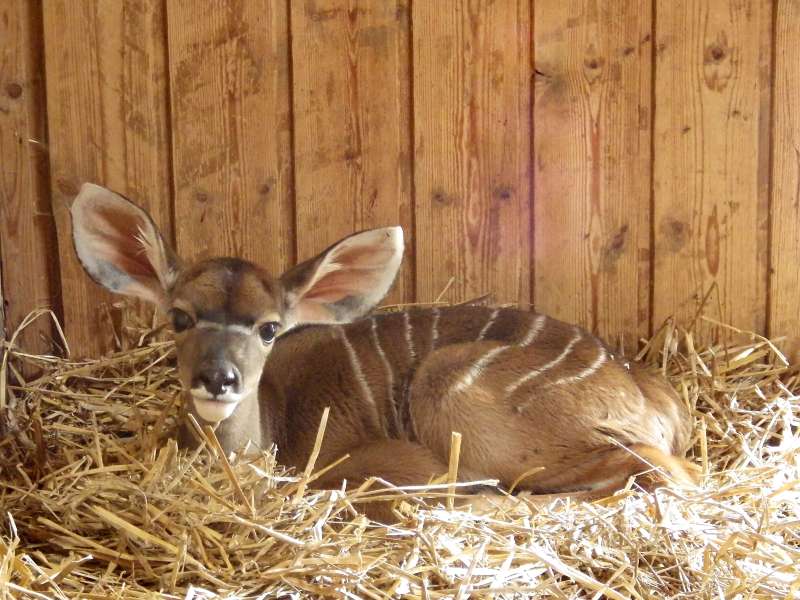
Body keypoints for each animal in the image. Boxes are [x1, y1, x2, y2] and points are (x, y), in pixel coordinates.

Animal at [70, 182, 700, 506]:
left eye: (270, 327)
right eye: (178, 316)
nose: (219, 379)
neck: (271, 426)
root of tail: (650, 398)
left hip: (450, 389)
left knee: (666, 469)